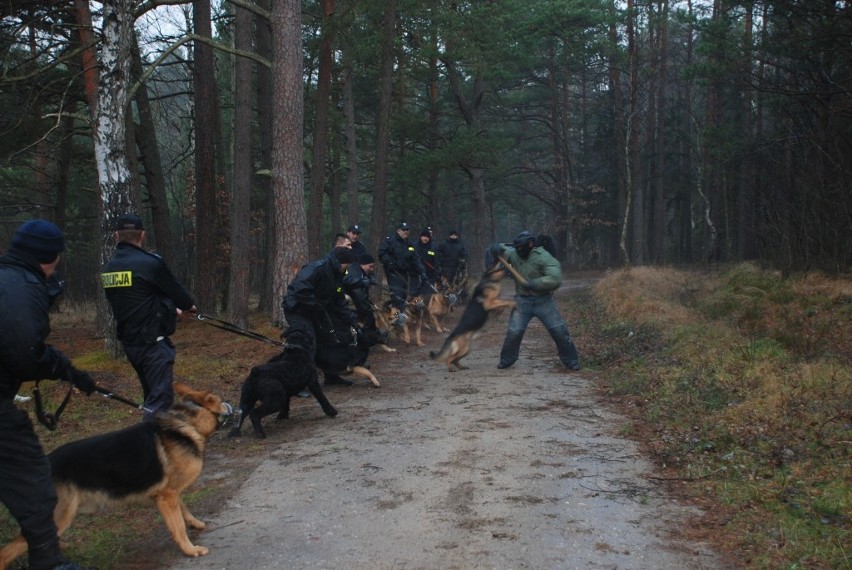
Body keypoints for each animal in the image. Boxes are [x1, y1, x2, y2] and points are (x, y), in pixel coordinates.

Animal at [0, 382, 233, 564]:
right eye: (219, 401)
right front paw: (190, 550)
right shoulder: (167, 496)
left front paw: (195, 523)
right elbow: (178, 526)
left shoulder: (168, 494)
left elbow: (183, 511)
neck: (186, 423)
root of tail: (48, 461)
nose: (231, 406)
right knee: (7, 552)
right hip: (58, 518)